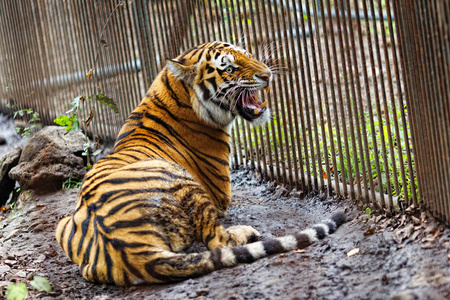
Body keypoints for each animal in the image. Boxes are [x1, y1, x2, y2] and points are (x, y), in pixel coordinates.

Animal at [54, 41, 346, 286]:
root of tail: (130, 250)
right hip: (184, 182)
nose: (267, 75)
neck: (173, 93)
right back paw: (247, 232)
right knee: (217, 241)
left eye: (248, 55)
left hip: (61, 225)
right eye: (230, 68)